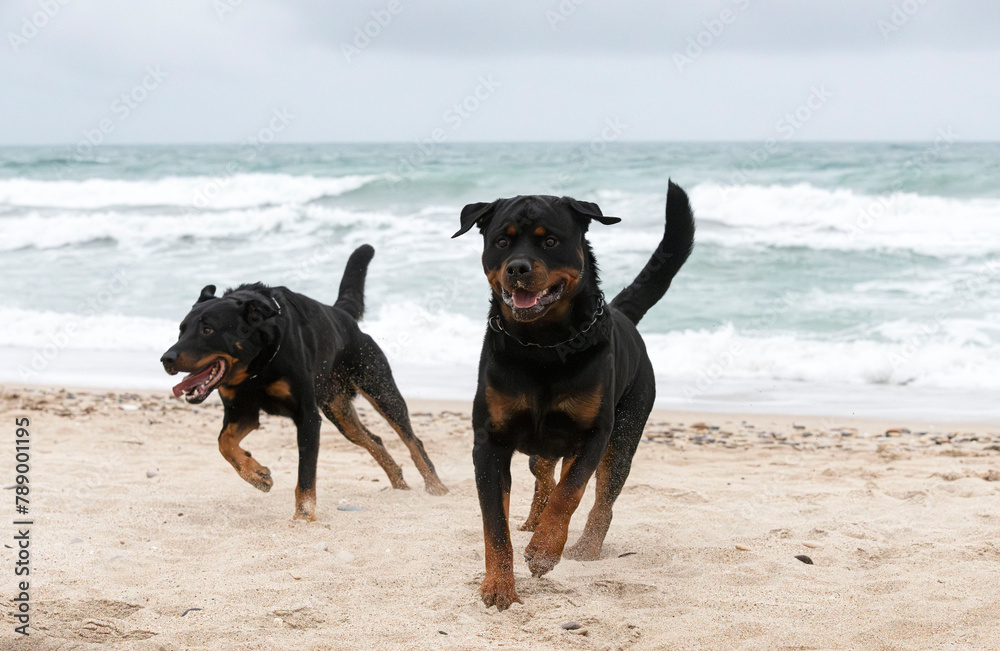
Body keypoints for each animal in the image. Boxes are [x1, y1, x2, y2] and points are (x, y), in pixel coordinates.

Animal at [161, 242, 450, 524]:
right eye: (181, 330)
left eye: (208, 330)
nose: (166, 359)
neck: (257, 365)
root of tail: (342, 315)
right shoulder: (241, 411)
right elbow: (225, 442)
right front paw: (257, 475)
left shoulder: (307, 416)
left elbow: (306, 473)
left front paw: (303, 515)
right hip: (338, 410)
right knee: (373, 439)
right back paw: (399, 484)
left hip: (378, 387)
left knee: (411, 439)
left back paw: (436, 486)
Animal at [454, 180, 696, 612]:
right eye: (502, 241)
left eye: (550, 241)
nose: (518, 268)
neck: (541, 347)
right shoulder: (490, 443)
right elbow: (495, 524)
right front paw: (499, 584)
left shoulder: (593, 435)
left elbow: (571, 493)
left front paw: (545, 550)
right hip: (542, 448)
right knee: (544, 476)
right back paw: (533, 521)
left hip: (624, 438)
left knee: (601, 500)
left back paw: (584, 547)